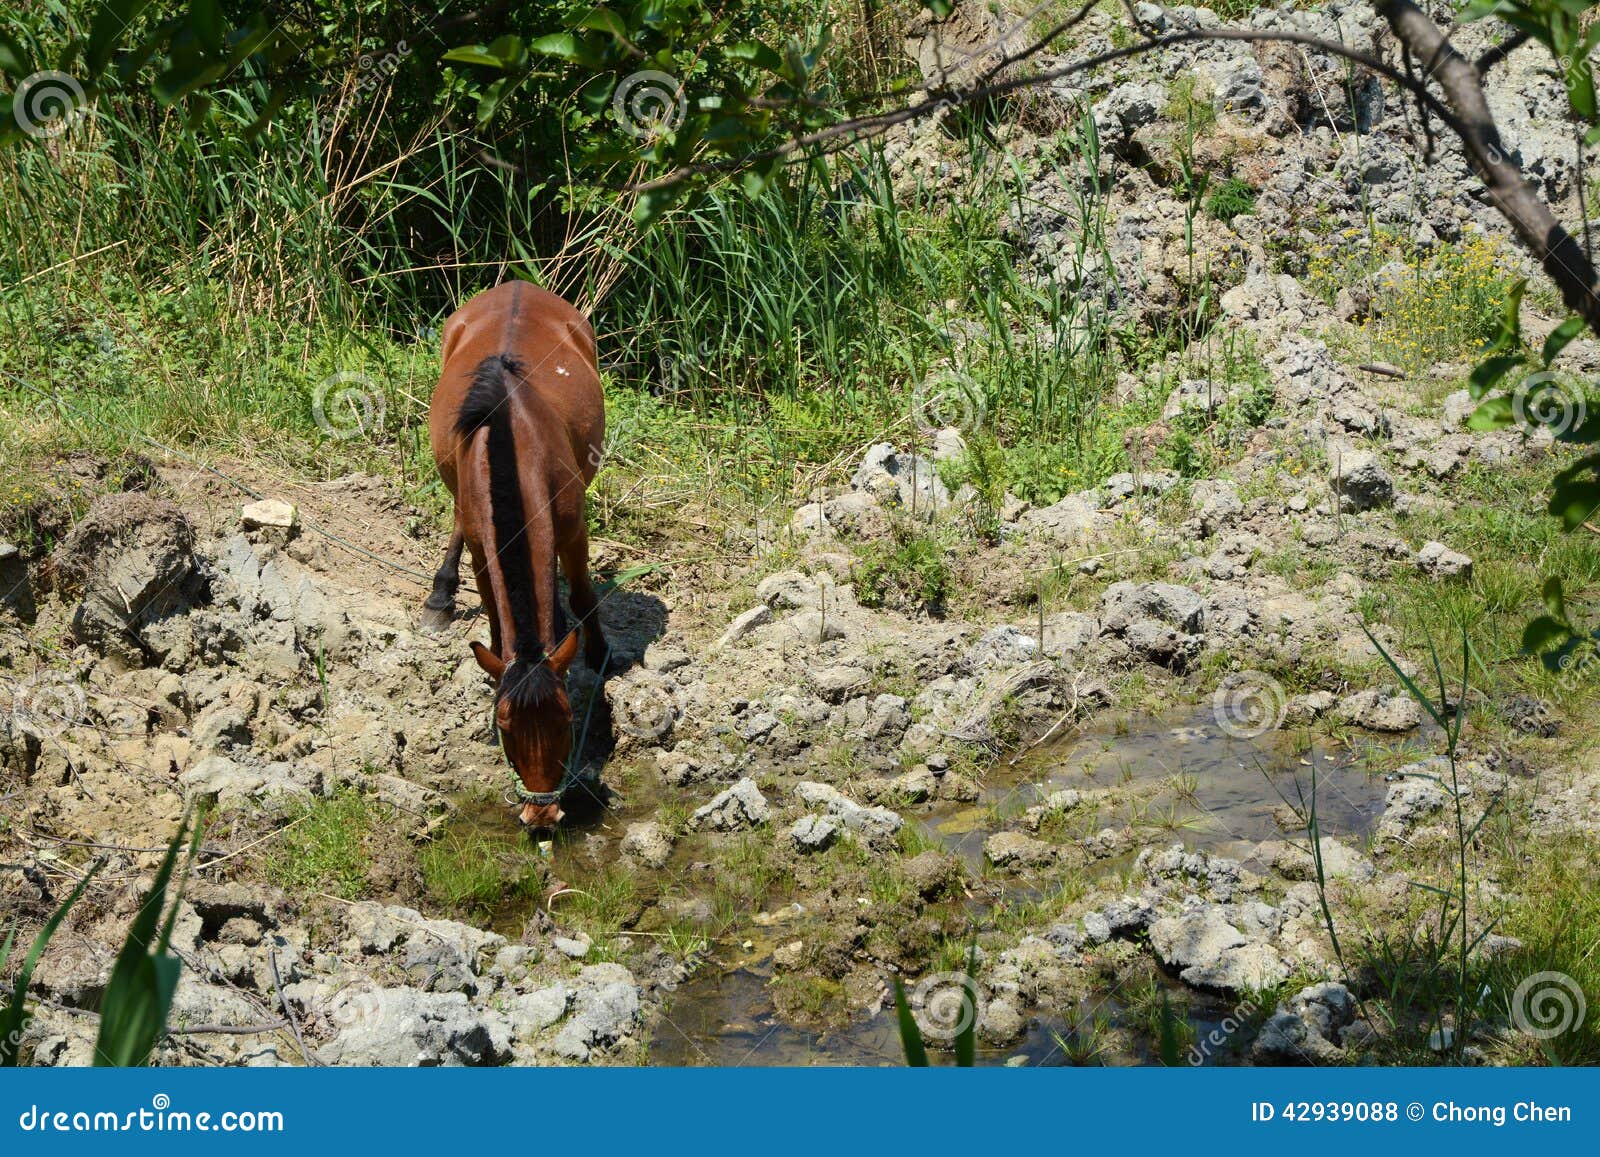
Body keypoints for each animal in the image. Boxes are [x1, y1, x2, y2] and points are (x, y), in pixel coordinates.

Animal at [422, 284, 608, 838]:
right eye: (505, 725)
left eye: (567, 719)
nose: (542, 815)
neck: (511, 445)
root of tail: (518, 286)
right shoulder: (486, 551)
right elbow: (497, 625)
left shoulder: (572, 528)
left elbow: (585, 595)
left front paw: (600, 659)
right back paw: (439, 596)